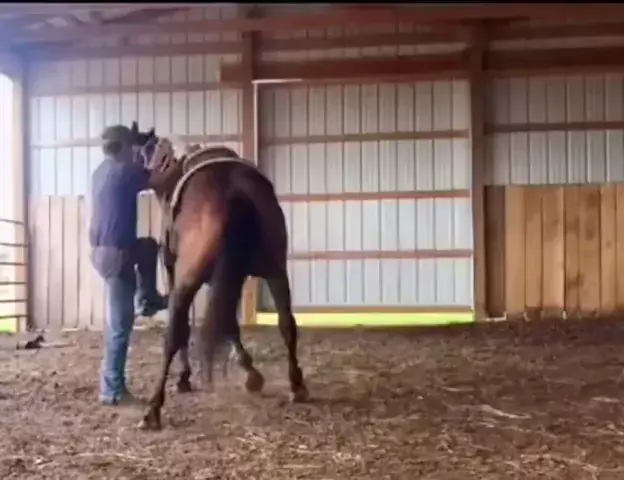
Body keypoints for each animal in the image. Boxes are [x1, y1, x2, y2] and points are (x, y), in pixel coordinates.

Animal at [135, 132, 309, 430]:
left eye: (154, 152)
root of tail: (234, 192)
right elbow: (229, 322)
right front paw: (251, 373)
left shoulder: (176, 277)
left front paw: (185, 377)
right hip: (275, 271)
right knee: (287, 323)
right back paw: (296, 385)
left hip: (187, 282)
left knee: (174, 334)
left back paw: (154, 409)